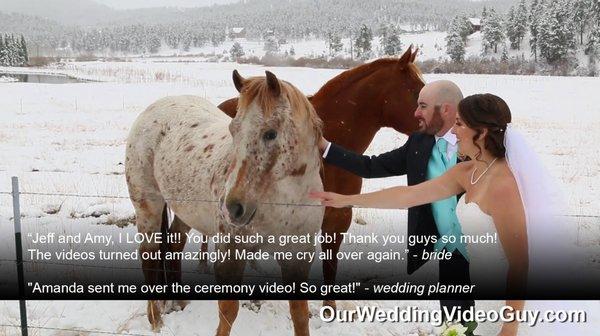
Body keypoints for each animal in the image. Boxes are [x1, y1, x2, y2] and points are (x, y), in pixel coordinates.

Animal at [125, 69, 326, 334]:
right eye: (233, 130)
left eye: (270, 133)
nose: (234, 207)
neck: (286, 203)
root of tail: (155, 108)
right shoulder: (230, 255)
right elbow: (228, 312)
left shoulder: (298, 257)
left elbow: (300, 314)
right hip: (148, 207)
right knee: (149, 254)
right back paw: (156, 320)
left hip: (186, 211)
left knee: (175, 243)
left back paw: (179, 302)